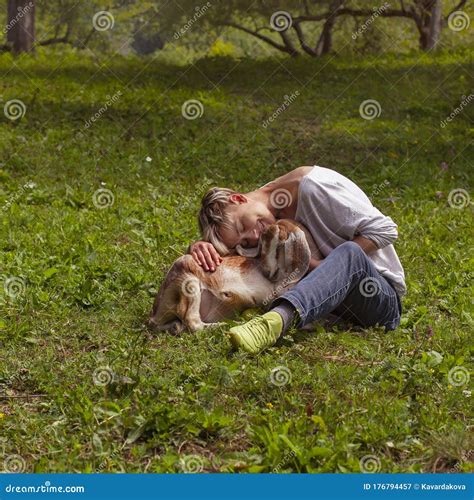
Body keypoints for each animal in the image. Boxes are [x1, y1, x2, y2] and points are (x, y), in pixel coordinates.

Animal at [147, 218, 322, 332]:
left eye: (278, 246)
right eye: (262, 243)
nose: (266, 271)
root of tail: (155, 314)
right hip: (188, 279)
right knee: (193, 322)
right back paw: (225, 325)